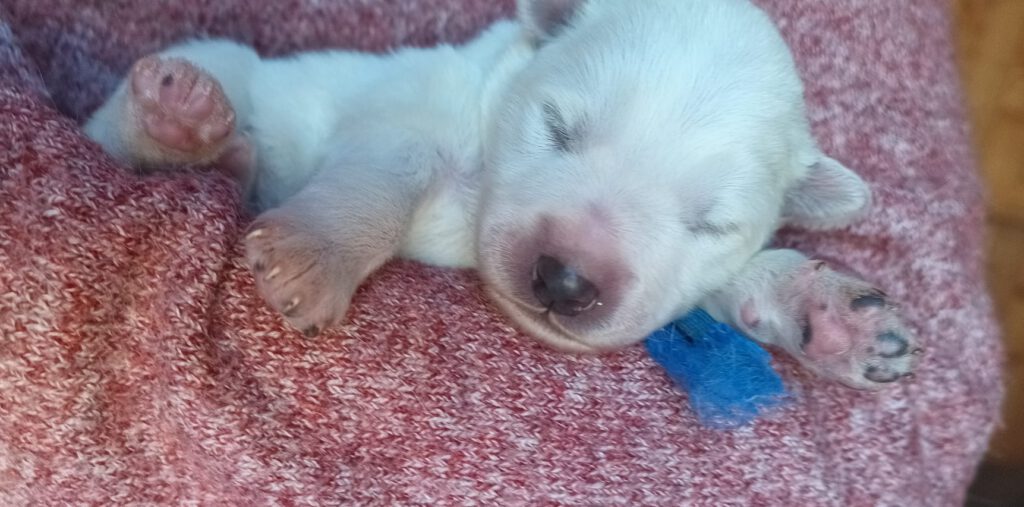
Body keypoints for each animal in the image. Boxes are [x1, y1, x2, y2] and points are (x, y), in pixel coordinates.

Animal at [84, 0, 919, 389]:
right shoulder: (405, 113)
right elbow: (381, 174)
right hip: (221, 69)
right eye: (558, 127)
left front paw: (832, 316)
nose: (567, 279)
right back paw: (180, 118)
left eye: (710, 222)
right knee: (124, 129)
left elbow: (727, 281)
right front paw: (313, 257)